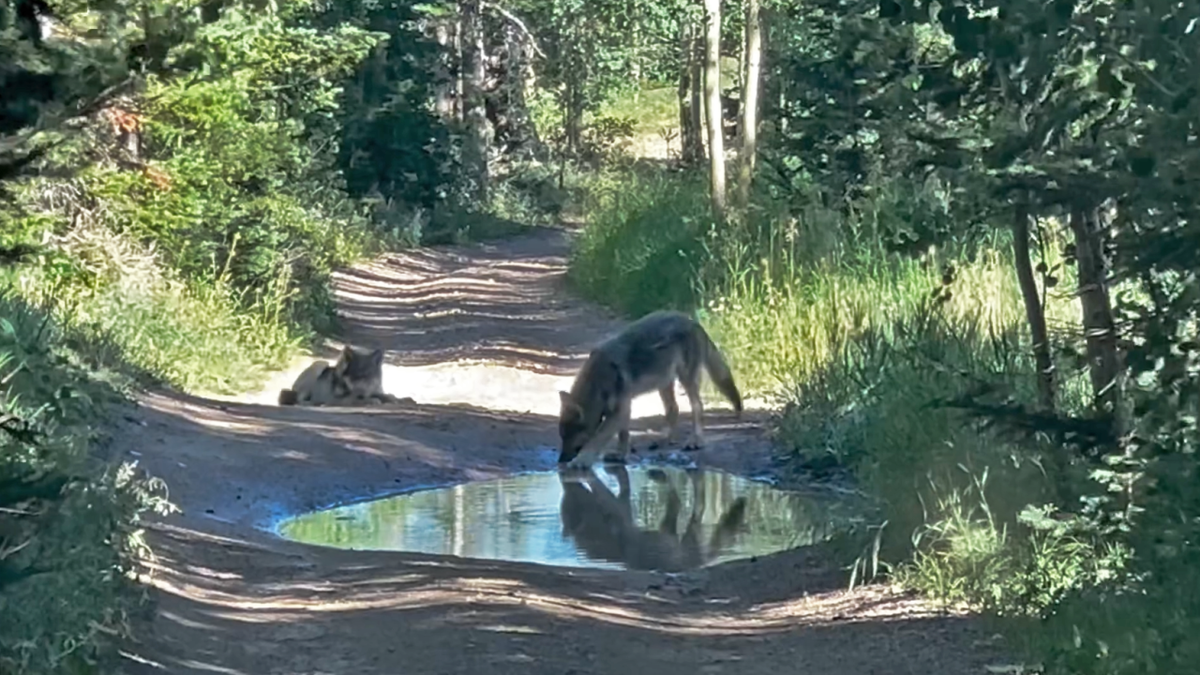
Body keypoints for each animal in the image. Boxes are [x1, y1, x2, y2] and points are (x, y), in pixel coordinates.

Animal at [559, 309, 739, 461]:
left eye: (569, 436)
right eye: (562, 436)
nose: (560, 461)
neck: (598, 381)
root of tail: (692, 321)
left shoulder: (620, 409)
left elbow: (597, 440)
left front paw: (581, 461)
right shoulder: (623, 409)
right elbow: (623, 435)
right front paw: (621, 454)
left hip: (686, 380)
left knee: (697, 406)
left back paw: (695, 441)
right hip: (664, 383)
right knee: (673, 409)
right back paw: (664, 440)